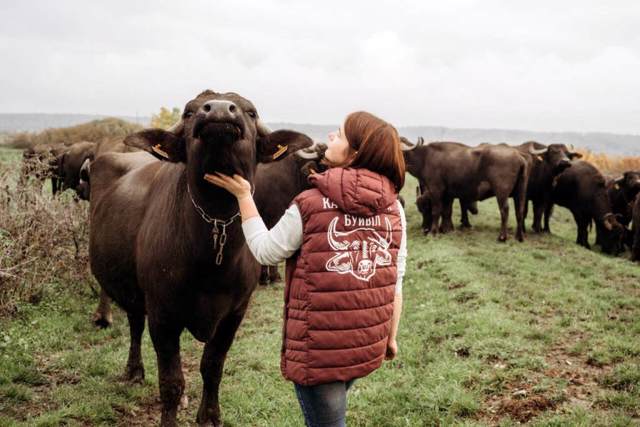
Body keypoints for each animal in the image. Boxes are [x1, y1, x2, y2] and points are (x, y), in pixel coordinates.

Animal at [88, 91, 312, 427]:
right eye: (189, 112)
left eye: (250, 111)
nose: (218, 110)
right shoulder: (163, 314)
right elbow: (171, 381)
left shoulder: (234, 314)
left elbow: (212, 366)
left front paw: (208, 416)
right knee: (135, 324)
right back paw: (134, 369)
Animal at [400, 139, 528, 242]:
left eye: (426, 207)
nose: (425, 228)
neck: (425, 157)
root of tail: (519, 156)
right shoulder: (448, 195)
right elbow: (447, 211)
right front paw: (447, 229)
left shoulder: (436, 190)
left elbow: (436, 211)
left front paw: (434, 232)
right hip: (520, 193)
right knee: (519, 211)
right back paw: (519, 237)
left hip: (501, 193)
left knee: (504, 210)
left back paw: (502, 237)